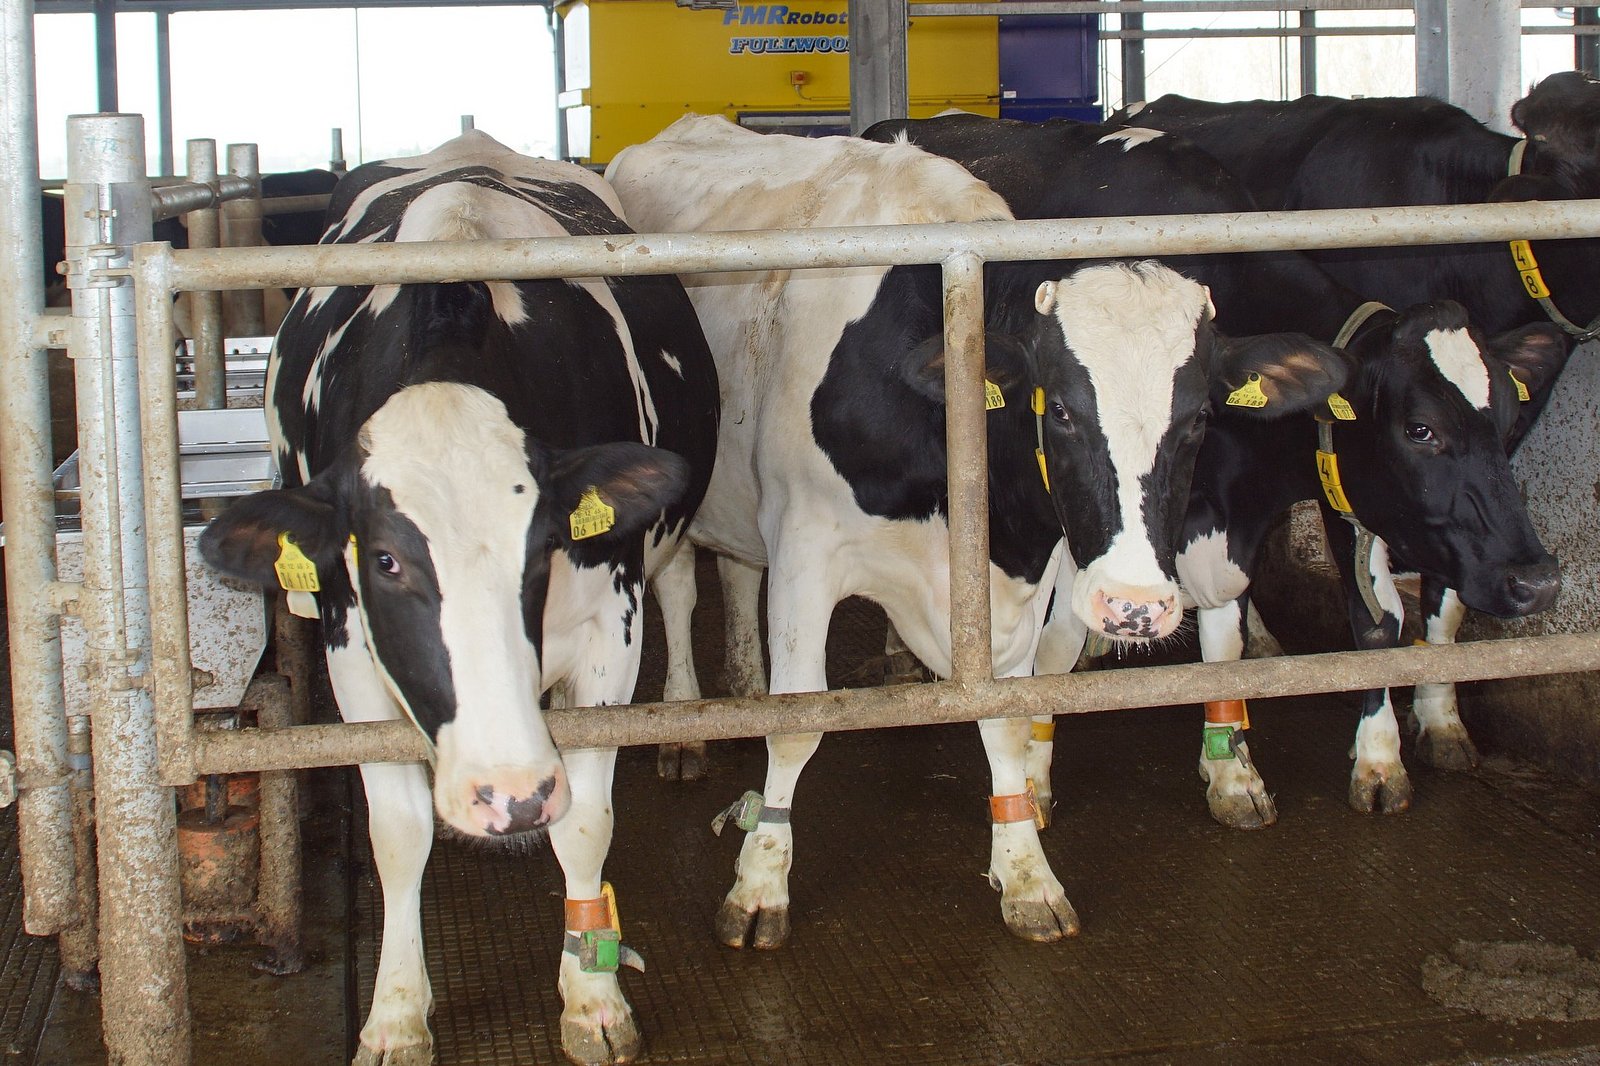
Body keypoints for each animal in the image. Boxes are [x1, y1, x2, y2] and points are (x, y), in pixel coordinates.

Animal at [198, 130, 720, 1062]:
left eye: (544, 547)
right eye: (385, 563)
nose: (507, 793)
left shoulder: (609, 628)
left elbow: (585, 819)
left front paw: (593, 1000)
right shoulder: (350, 652)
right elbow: (397, 834)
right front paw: (396, 1013)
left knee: (683, 587)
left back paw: (686, 727)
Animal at [604, 112, 1344, 947]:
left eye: (1197, 420)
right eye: (1062, 410)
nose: (1135, 608)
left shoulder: (1013, 576)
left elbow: (1007, 721)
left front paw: (1026, 872)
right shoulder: (806, 550)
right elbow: (798, 723)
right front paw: (761, 886)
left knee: (735, 572)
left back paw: (745, 680)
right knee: (678, 592)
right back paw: (685, 725)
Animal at [864, 114, 1561, 832]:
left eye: (1509, 419)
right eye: (1420, 429)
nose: (1536, 579)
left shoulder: (1300, 495)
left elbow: (1318, 629)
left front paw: (1255, 769)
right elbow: (1054, 648)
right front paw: (1034, 774)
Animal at [1113, 72, 1600, 797]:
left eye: (1508, 416)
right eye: (1419, 429)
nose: (1539, 583)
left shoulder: (1468, 485)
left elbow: (1446, 597)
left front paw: (1441, 719)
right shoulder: (1345, 471)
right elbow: (1376, 620)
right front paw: (1378, 756)